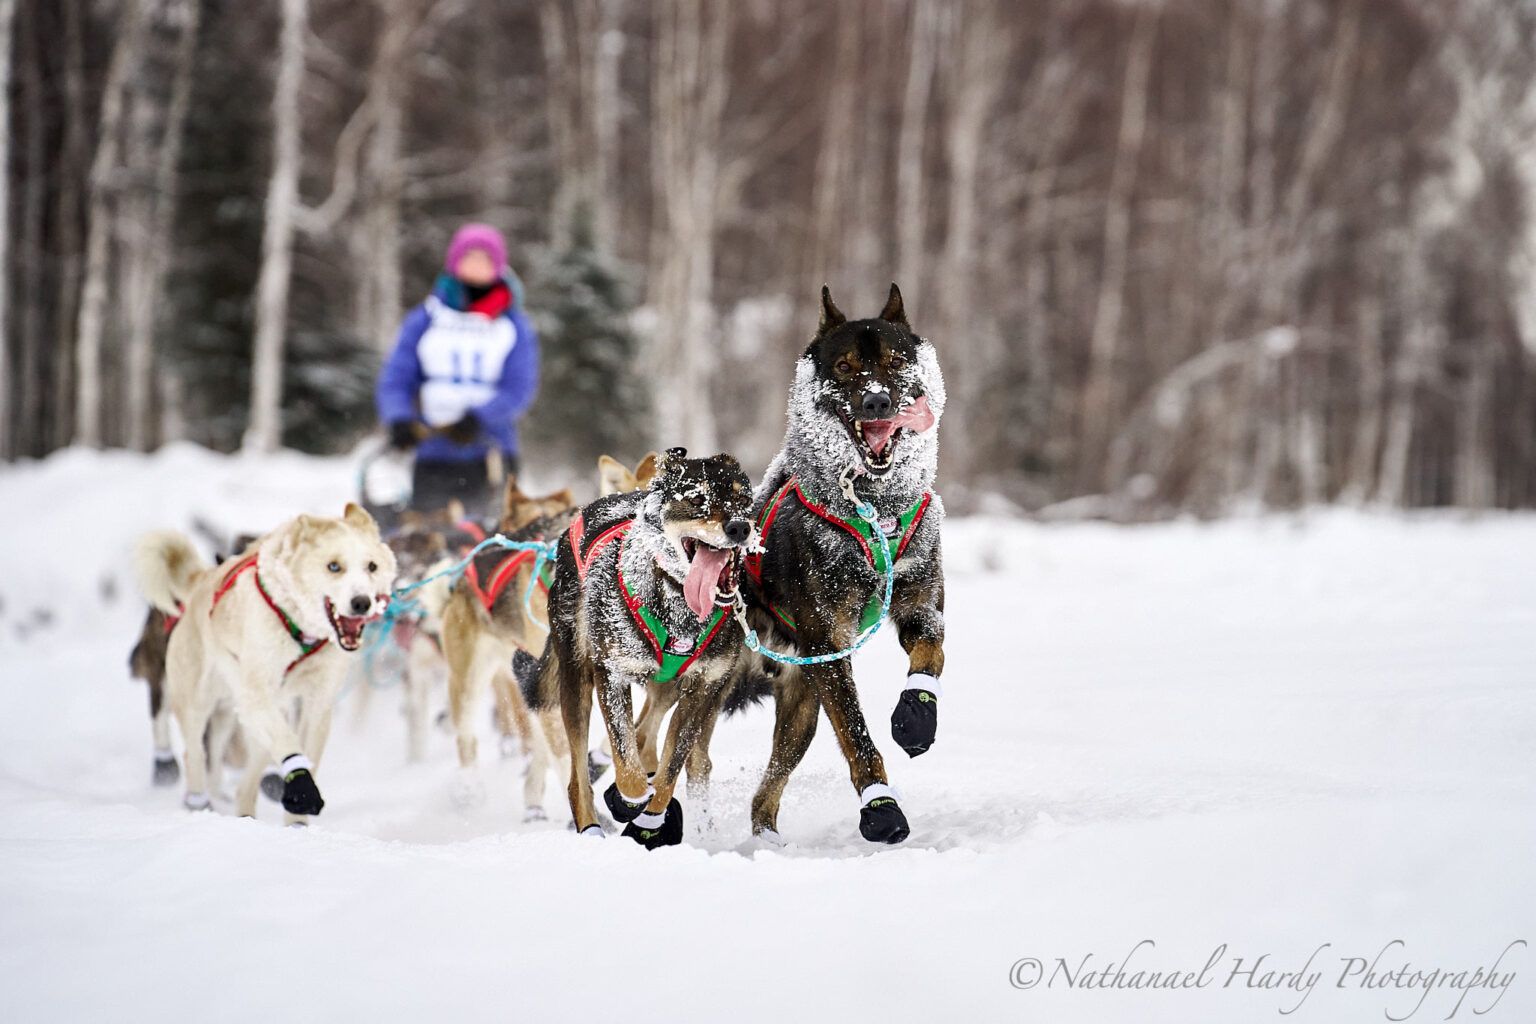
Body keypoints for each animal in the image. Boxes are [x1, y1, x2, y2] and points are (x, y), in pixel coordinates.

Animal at [135, 503, 396, 822]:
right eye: (334, 566)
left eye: (371, 566)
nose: (362, 602)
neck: (302, 632)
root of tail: (201, 580)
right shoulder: (257, 696)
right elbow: (288, 745)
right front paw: (302, 788)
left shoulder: (317, 703)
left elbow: (305, 752)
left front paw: (298, 821)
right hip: (199, 701)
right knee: (195, 752)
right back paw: (198, 801)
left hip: (243, 713)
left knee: (241, 779)